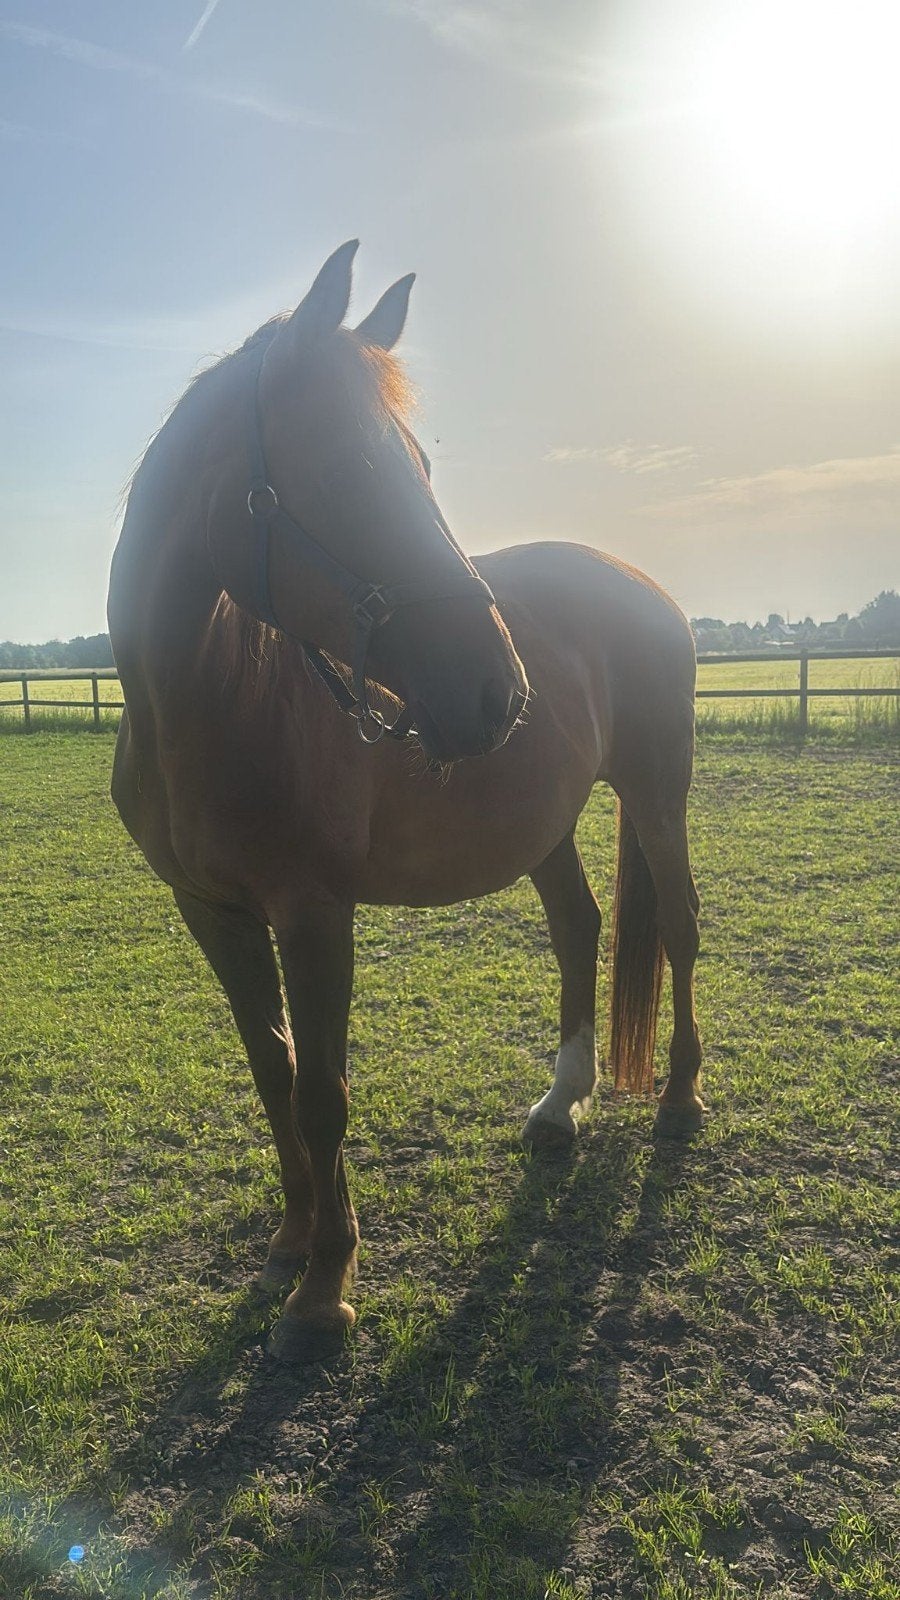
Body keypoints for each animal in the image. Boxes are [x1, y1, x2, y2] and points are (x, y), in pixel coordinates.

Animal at [108, 242, 704, 1363]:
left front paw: (325, 1291)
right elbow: (272, 1073)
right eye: (345, 472)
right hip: (548, 823)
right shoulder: (210, 913)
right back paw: (561, 1104)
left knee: (681, 929)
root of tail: (643, 584)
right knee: (578, 927)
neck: (209, 705)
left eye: (419, 470)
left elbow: (322, 1092)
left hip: (658, 793)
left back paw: (683, 1096)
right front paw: (290, 1244)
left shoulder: (313, 914)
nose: (496, 692)